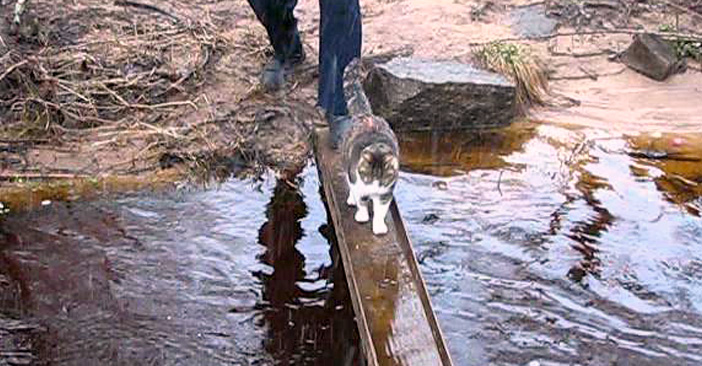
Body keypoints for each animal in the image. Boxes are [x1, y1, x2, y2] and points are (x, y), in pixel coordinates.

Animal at [340, 57, 402, 234]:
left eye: (382, 179)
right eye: (369, 176)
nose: (374, 188)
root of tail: (366, 114)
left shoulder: (386, 192)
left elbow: (381, 210)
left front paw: (379, 226)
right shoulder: (358, 183)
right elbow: (361, 202)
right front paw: (362, 216)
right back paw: (351, 200)